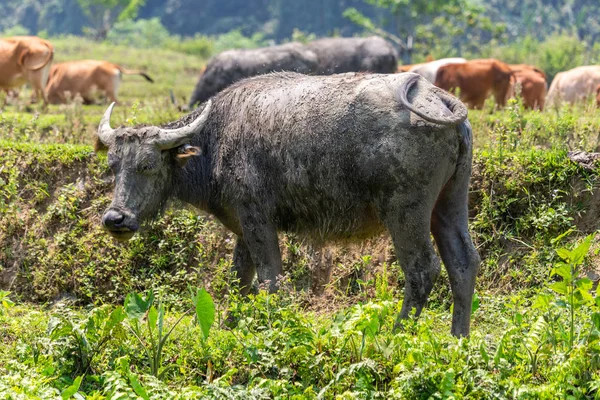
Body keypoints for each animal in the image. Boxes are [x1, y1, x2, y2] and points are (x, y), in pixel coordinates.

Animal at [99, 72, 482, 338]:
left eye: (148, 165)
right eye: (113, 165)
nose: (115, 218)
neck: (216, 138)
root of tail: (436, 97)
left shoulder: (258, 219)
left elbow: (270, 278)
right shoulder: (243, 227)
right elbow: (240, 279)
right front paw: (229, 325)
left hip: (405, 212)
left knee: (422, 269)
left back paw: (397, 331)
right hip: (449, 204)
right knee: (463, 262)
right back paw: (458, 336)